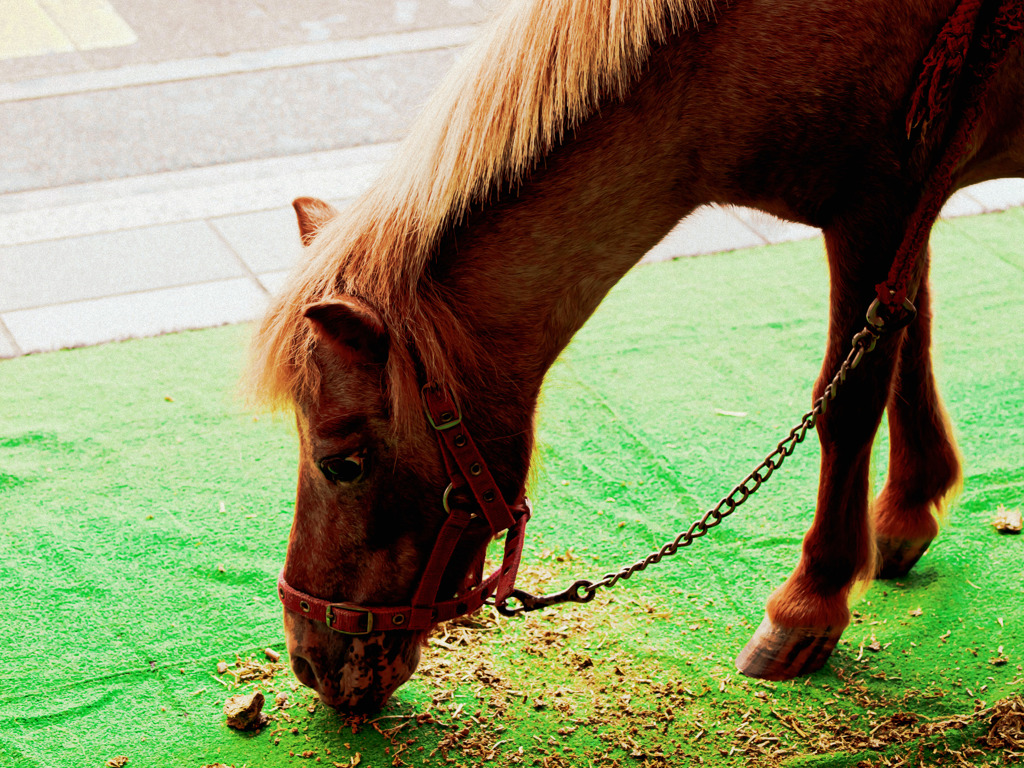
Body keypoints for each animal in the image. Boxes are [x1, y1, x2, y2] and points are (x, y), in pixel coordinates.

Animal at [249, 0, 1024, 716]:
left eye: (342, 463)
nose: (309, 662)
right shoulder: (910, 199)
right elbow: (907, 337)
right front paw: (908, 509)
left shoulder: (879, 201)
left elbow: (852, 399)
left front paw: (812, 601)